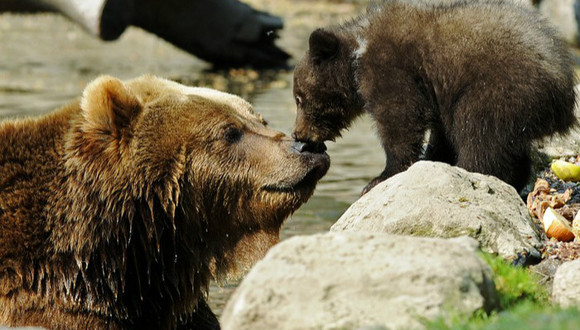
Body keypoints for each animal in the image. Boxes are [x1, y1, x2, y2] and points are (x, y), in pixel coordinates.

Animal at [294, 0, 576, 195]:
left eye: (298, 98)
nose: (298, 134)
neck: (356, 58)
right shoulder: (437, 92)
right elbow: (438, 132)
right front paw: (430, 158)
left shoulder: (392, 69)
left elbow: (401, 120)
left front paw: (378, 178)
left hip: (499, 87)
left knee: (479, 133)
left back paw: (473, 171)